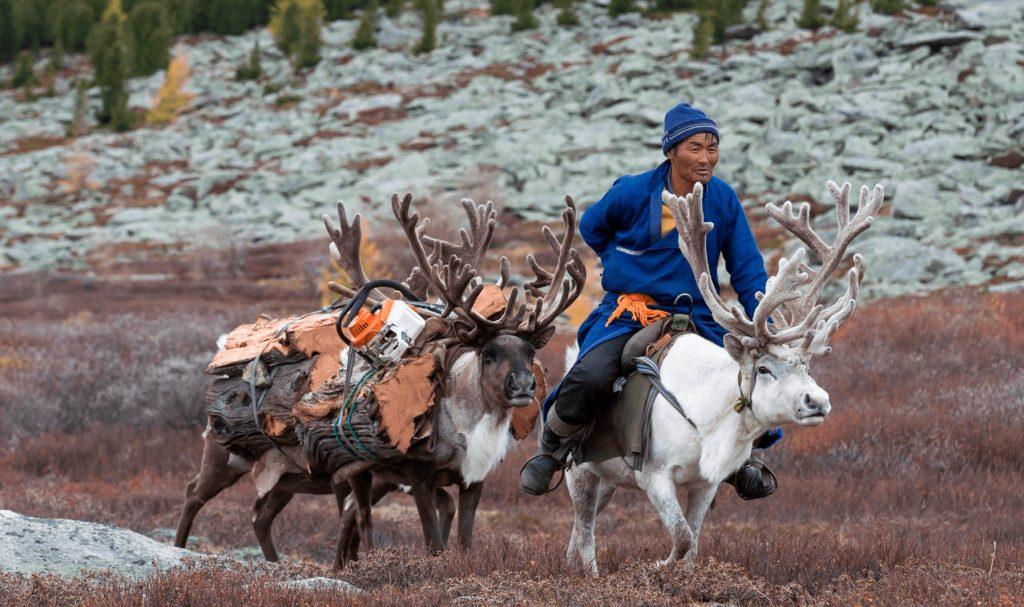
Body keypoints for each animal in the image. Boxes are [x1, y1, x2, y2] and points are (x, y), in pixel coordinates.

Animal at [174, 192, 584, 568]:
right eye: (488, 353)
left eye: (530, 353)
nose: (524, 387)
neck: (467, 427)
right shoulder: (419, 476)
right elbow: (432, 540)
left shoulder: (471, 480)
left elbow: (463, 540)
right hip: (226, 454)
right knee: (194, 493)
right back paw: (179, 549)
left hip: (291, 477)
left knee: (266, 515)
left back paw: (286, 563)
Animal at [563, 180, 884, 576]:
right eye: (763, 369)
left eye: (806, 366)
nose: (817, 401)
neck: (708, 419)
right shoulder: (654, 476)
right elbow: (681, 537)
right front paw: (654, 567)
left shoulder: (706, 484)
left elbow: (693, 543)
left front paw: (682, 576)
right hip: (580, 469)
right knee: (585, 528)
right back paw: (590, 575)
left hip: (608, 476)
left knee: (581, 527)